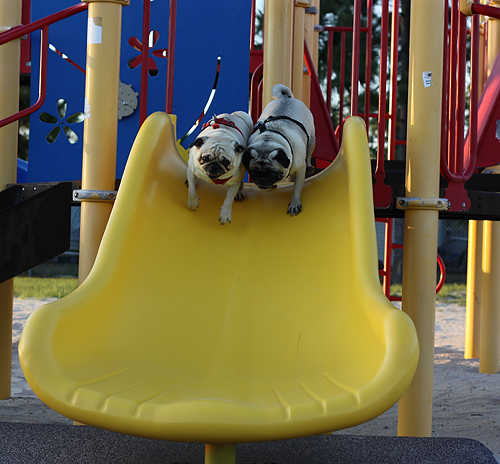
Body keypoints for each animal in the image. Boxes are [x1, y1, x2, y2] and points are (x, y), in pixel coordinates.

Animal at [243, 84, 316, 216]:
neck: (269, 138)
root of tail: (286, 98)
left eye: (273, 173)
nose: (262, 179)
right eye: (253, 172)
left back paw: (309, 166)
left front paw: (294, 204)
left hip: (312, 139)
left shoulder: (300, 171)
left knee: (308, 155)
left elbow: (297, 189)